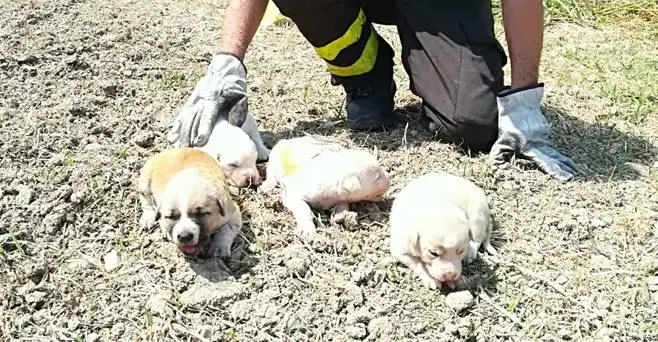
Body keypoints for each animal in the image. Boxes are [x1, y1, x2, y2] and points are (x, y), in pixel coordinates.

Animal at [260, 136, 390, 238]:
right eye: (378, 176)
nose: (390, 179)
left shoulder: (341, 198)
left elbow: (343, 205)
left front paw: (340, 215)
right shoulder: (294, 195)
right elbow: (304, 209)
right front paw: (307, 232)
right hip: (274, 159)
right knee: (270, 172)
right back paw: (267, 186)